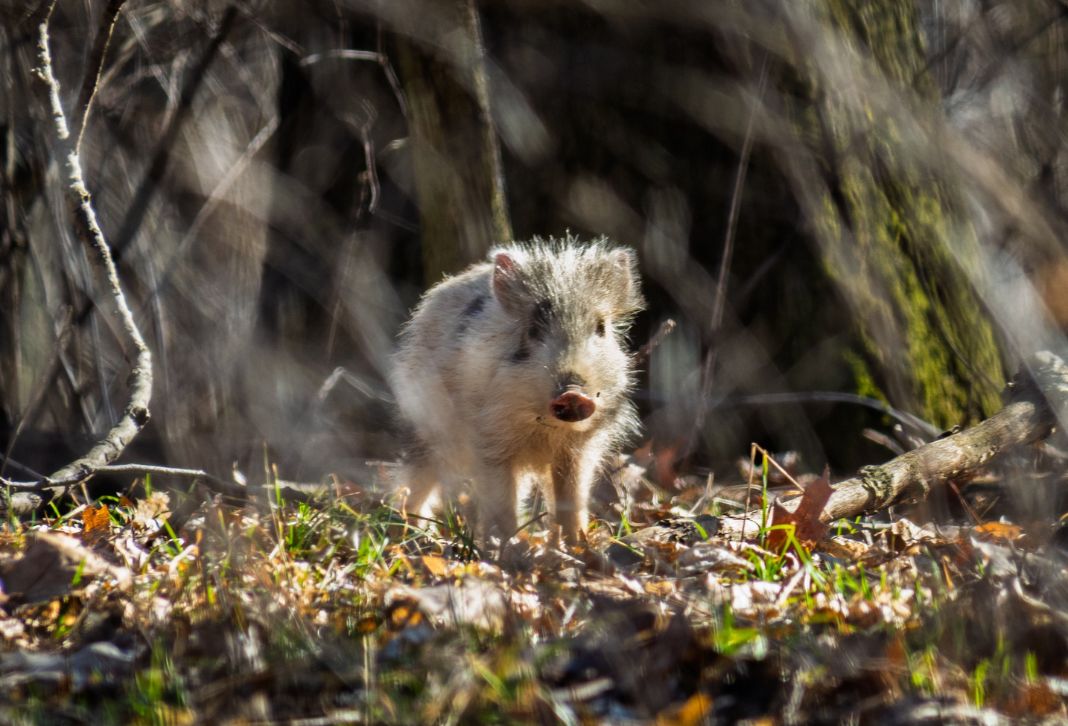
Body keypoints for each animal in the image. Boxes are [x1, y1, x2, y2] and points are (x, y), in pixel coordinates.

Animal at [389, 237, 644, 545]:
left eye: (601, 328)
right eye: (533, 330)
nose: (573, 393)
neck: (543, 429)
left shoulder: (581, 447)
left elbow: (571, 498)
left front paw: (577, 545)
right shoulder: (491, 440)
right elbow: (501, 502)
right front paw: (507, 546)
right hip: (425, 426)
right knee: (415, 476)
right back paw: (407, 532)